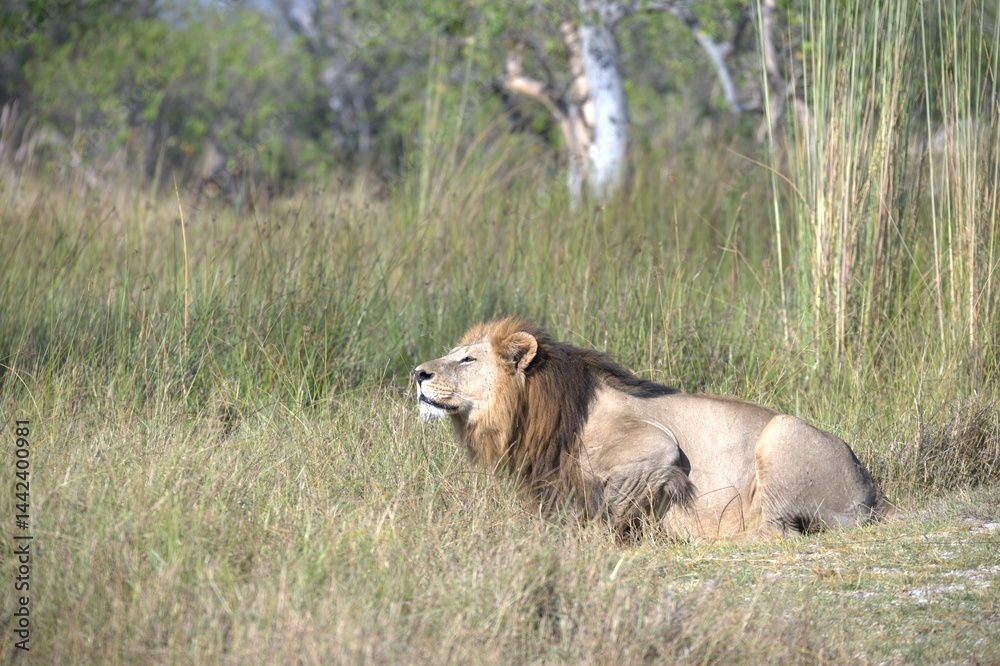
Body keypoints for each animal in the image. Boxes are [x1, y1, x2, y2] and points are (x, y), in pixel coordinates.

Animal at [413, 317, 891, 538]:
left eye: (466, 359)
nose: (417, 373)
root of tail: (875, 491)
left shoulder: (657, 448)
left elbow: (610, 504)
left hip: (781, 433)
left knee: (778, 530)